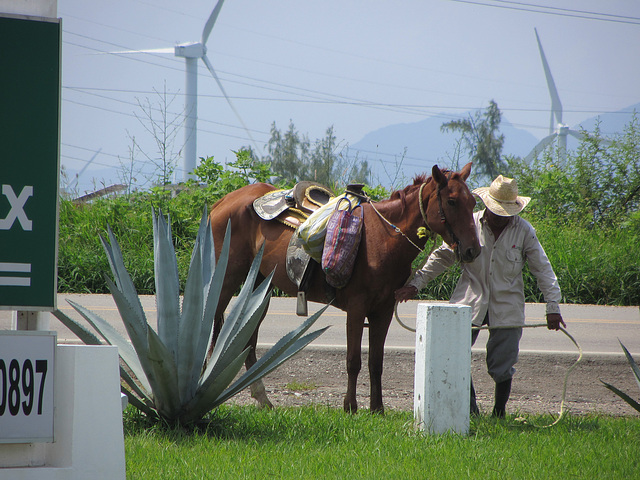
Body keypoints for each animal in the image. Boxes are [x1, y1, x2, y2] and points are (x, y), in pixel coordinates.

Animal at [210, 164, 480, 412]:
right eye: (452, 201)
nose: (473, 250)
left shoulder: (383, 311)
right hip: (227, 277)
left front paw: (377, 408)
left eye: (473, 201)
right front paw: (350, 406)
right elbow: (353, 360)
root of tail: (223, 201)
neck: (383, 238)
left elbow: (376, 362)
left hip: (260, 283)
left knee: (249, 339)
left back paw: (261, 397)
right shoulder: (357, 308)